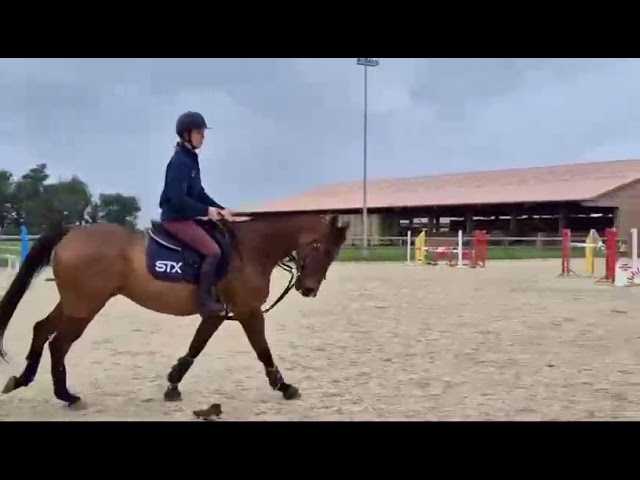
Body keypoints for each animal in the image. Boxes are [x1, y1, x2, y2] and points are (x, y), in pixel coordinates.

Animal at [0, 213, 349, 408]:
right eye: (321, 248)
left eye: (334, 254)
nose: (308, 289)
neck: (250, 251)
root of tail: (72, 231)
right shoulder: (249, 312)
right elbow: (263, 351)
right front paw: (285, 387)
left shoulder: (216, 314)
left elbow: (195, 348)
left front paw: (172, 385)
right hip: (86, 307)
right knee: (58, 343)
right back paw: (66, 396)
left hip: (74, 304)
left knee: (41, 329)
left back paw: (22, 379)